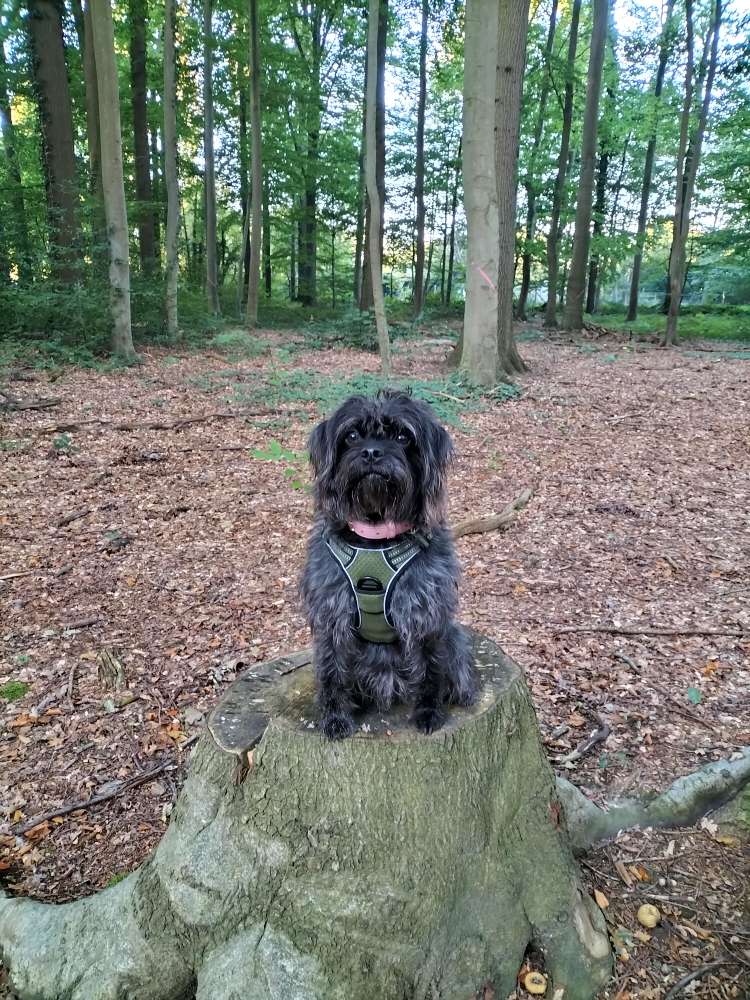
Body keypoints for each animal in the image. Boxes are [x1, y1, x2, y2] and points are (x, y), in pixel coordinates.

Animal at [300, 386, 476, 740]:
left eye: (402, 436)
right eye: (352, 435)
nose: (371, 453)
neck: (375, 537)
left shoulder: (426, 615)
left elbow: (431, 671)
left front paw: (428, 712)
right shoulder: (332, 614)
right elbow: (331, 670)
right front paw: (335, 717)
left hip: (455, 638)